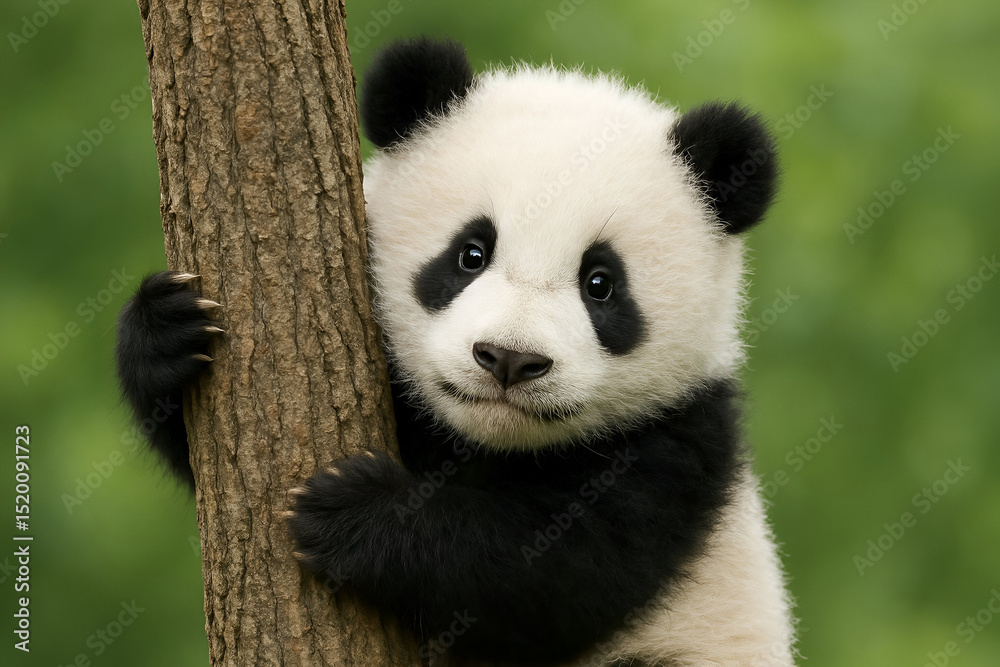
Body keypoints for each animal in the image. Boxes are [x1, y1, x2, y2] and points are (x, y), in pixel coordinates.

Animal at [116, 38, 795, 666]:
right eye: (471, 252)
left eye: (600, 283)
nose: (510, 359)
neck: (482, 440)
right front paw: (169, 331)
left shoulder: (677, 447)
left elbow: (544, 568)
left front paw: (354, 514)